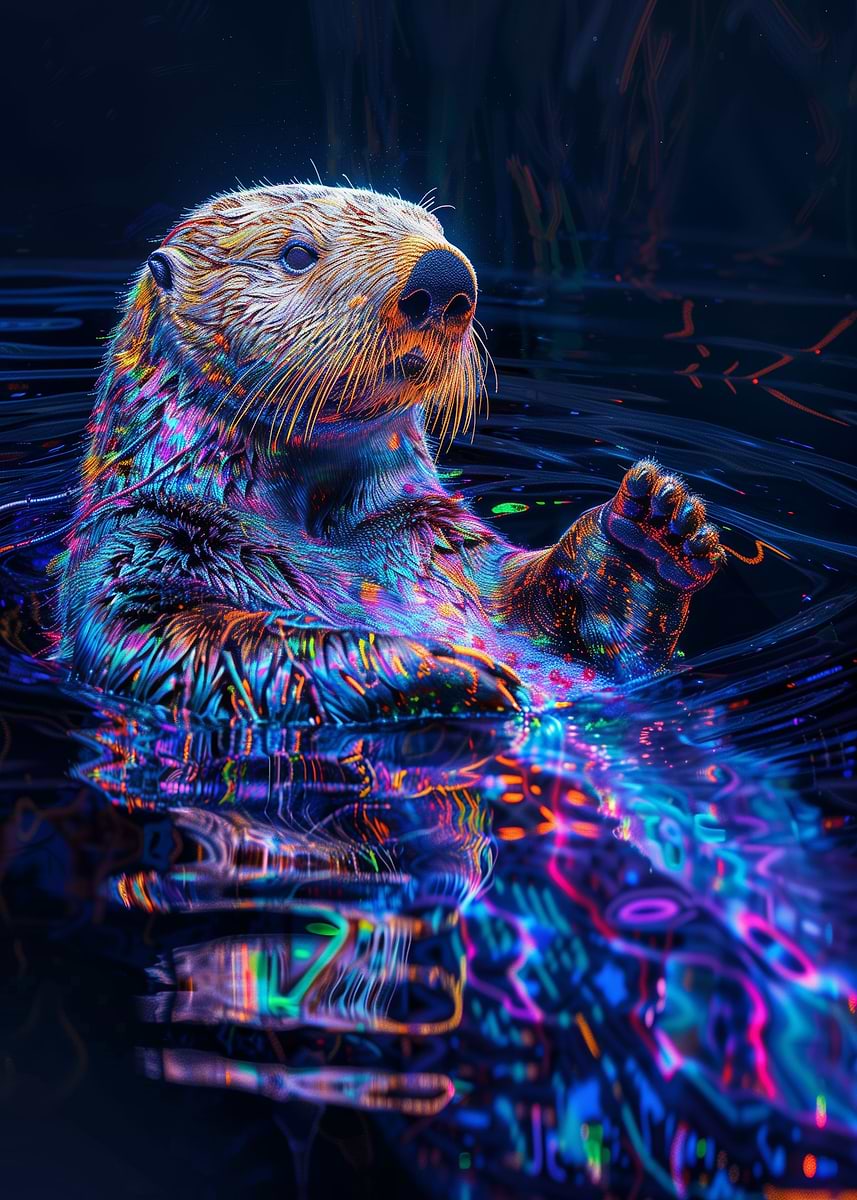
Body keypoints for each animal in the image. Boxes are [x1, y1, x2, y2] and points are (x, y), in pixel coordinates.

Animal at [56, 184, 724, 723]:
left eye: (439, 231)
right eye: (296, 253)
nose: (445, 275)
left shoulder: (438, 537)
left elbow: (544, 609)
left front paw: (654, 527)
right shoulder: (141, 552)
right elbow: (200, 647)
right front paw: (439, 666)